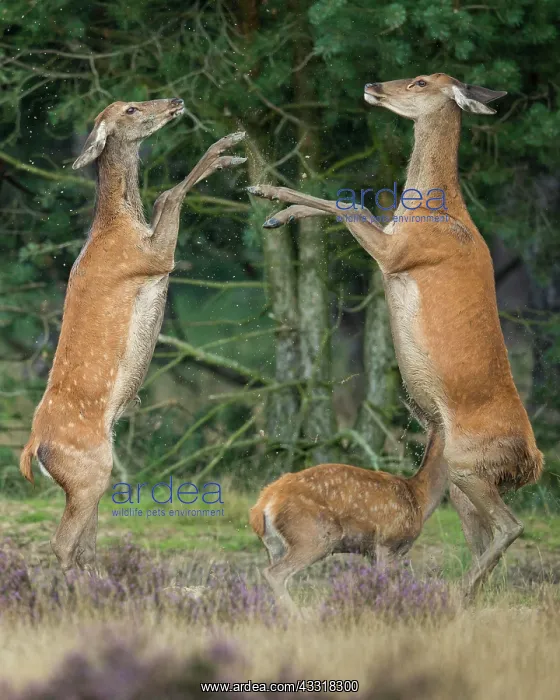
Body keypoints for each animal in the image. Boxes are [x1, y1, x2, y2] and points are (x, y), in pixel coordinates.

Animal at [19, 98, 246, 576]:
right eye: (130, 108)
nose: (175, 101)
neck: (121, 225)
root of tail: (33, 448)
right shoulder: (153, 259)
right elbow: (172, 193)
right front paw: (228, 148)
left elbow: (162, 194)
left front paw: (230, 151)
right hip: (91, 468)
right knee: (62, 542)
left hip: (90, 476)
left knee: (84, 542)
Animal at [250, 432, 447, 612]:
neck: (419, 499)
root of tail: (262, 506)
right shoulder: (387, 542)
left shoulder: (371, 552)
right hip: (314, 536)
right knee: (274, 573)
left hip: (275, 545)